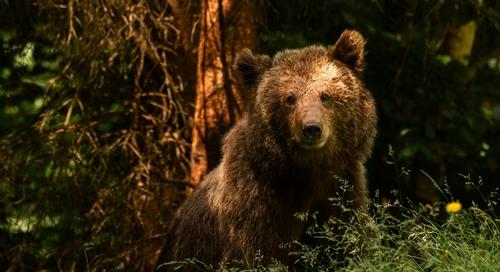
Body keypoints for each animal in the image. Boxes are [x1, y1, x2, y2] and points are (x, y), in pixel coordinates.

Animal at [155, 29, 376, 270]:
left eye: (325, 95)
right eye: (290, 98)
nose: (311, 128)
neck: (309, 170)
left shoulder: (343, 188)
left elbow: (345, 244)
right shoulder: (257, 198)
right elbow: (257, 253)